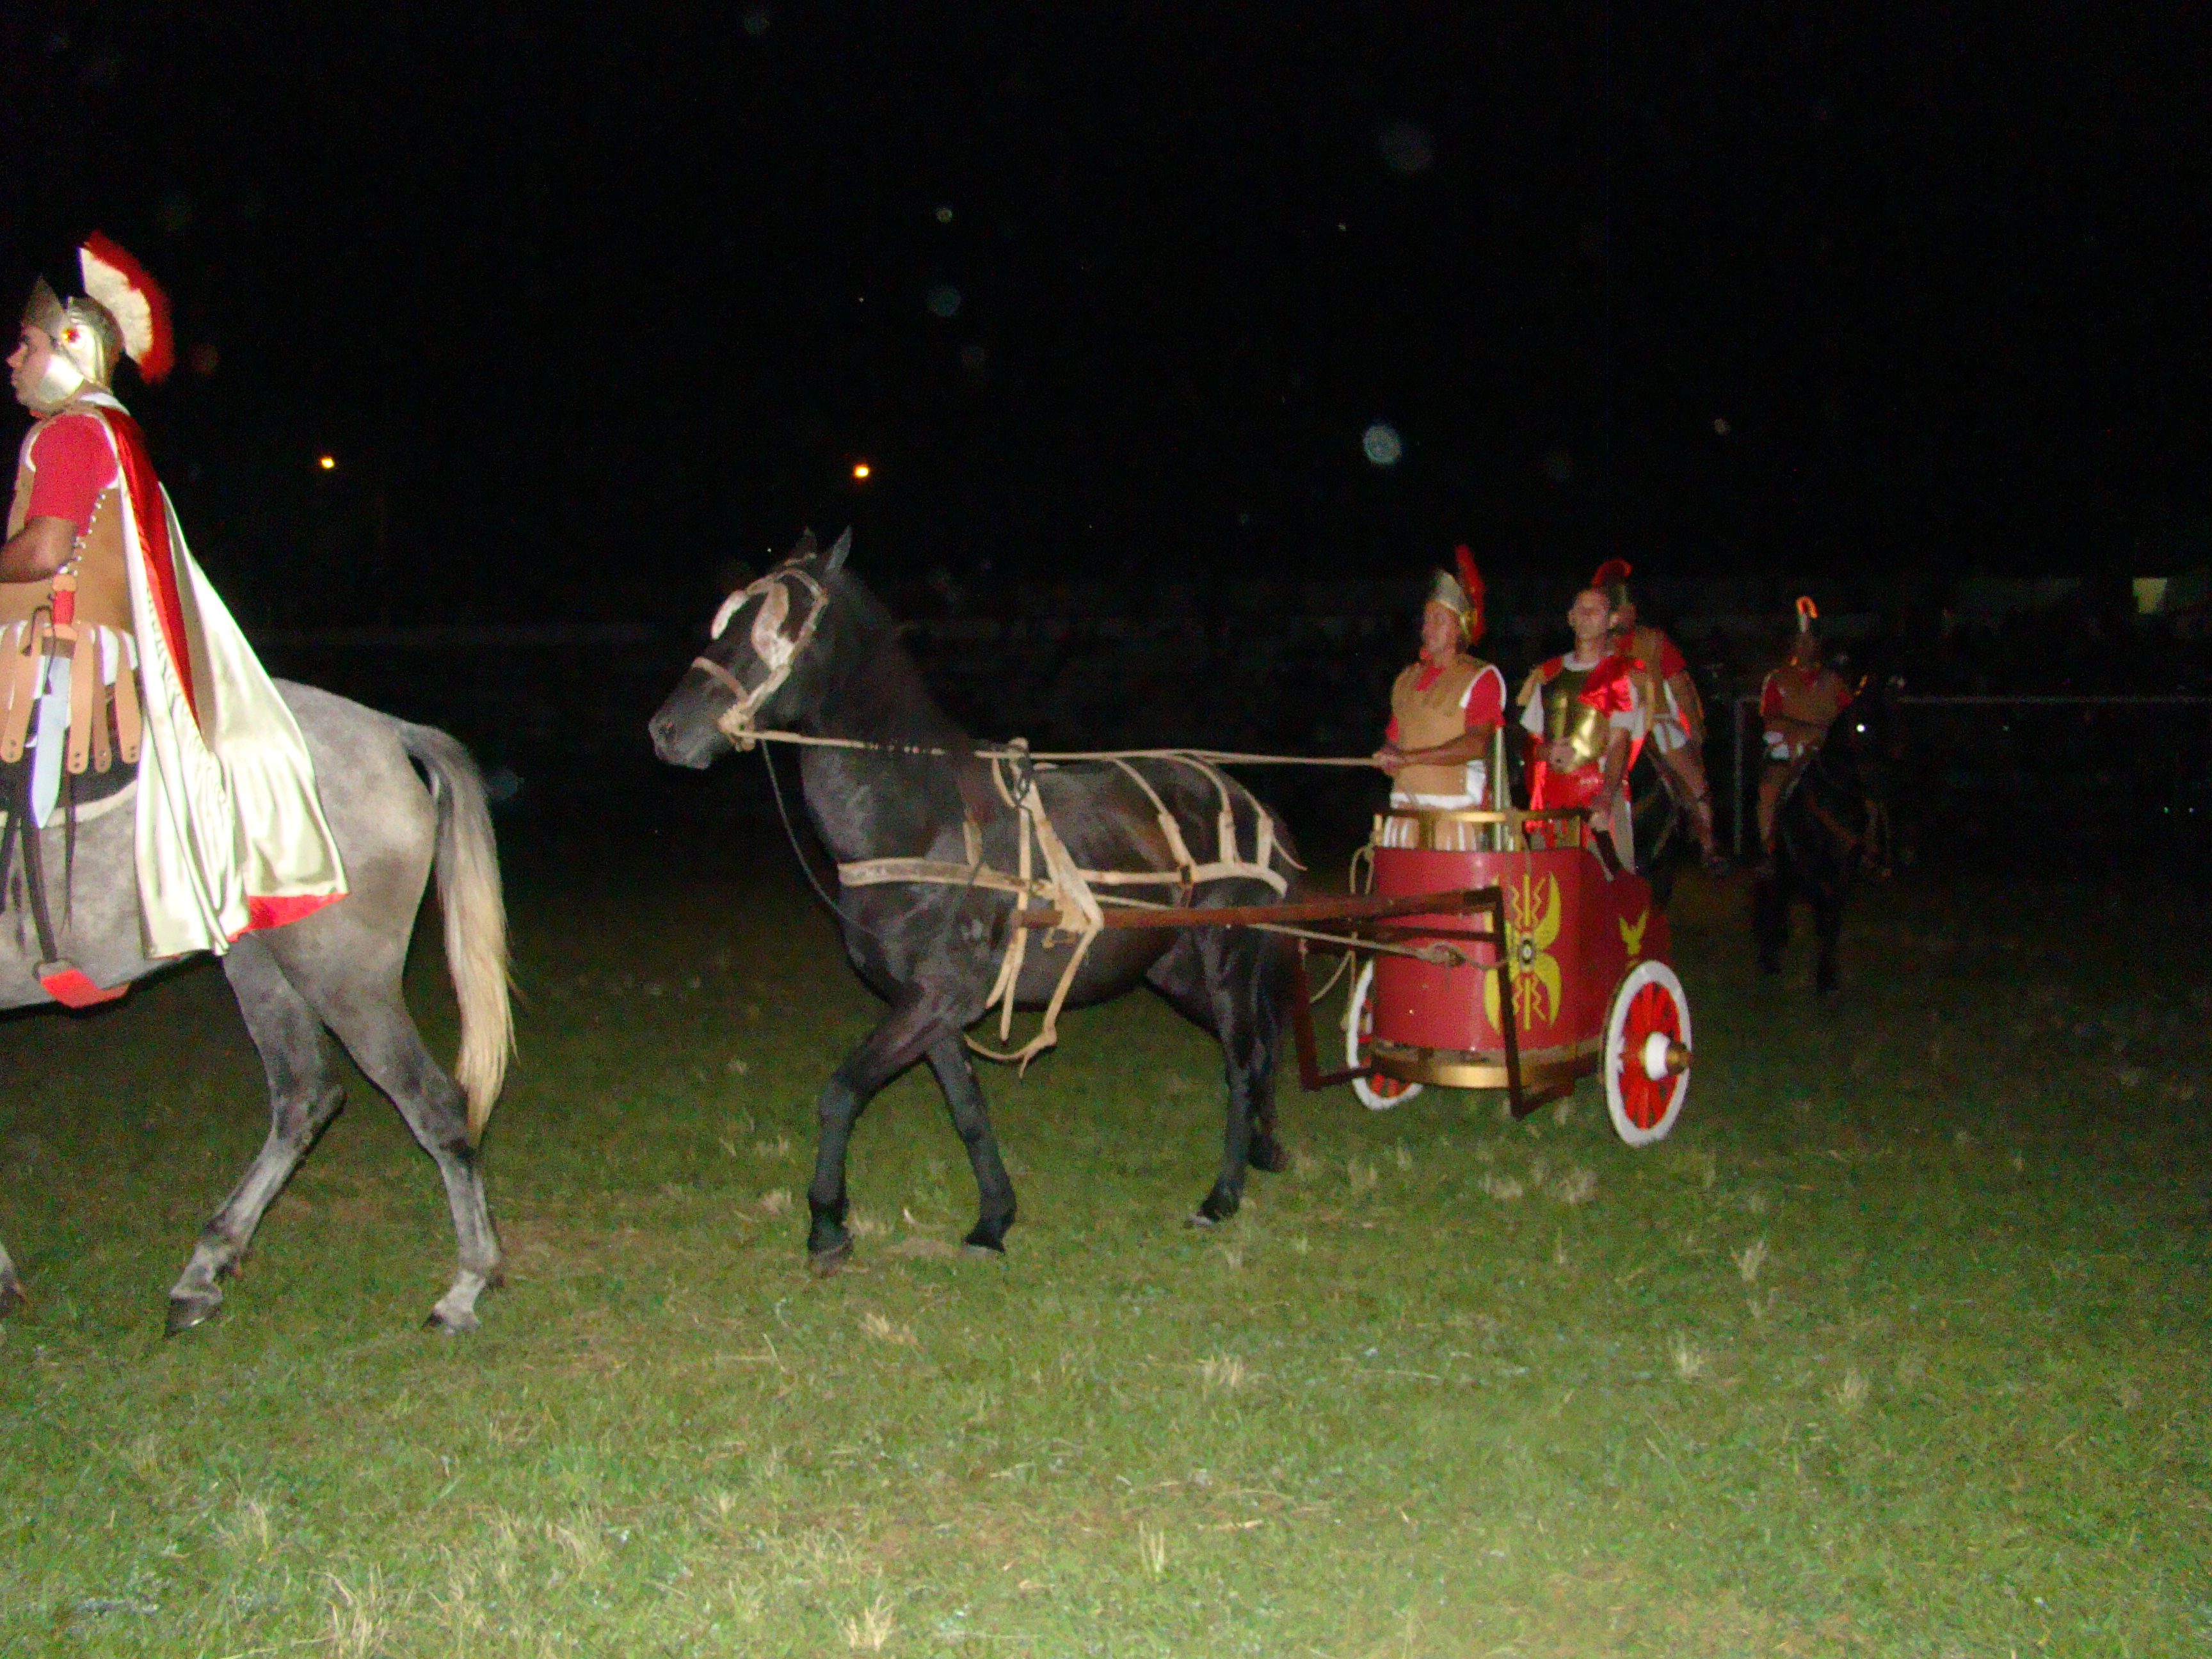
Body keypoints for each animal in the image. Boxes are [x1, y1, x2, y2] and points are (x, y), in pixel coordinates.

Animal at [0, 685, 508, 1336]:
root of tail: (389, 730)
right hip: (262, 964)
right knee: (305, 1098)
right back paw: (204, 1270)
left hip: (344, 977)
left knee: (432, 1104)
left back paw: (464, 1287)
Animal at [646, 533, 1292, 1274]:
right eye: (728, 619)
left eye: (774, 627)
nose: (666, 730)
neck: (922, 823)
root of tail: (1250, 802)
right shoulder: (930, 1008)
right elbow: (968, 1111)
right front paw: (993, 1220)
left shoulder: (939, 995)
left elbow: (841, 1093)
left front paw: (827, 1226)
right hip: (1175, 970)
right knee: (1257, 1053)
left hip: (1229, 959)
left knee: (1242, 1062)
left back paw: (1222, 1197)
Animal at [1752, 690, 1893, 1000]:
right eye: (1860, 727)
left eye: (1889, 723)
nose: (1880, 776)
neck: (1835, 796)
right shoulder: (1809, 862)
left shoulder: (1845, 868)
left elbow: (1834, 914)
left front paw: (1828, 977)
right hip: (1784, 864)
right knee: (1776, 895)